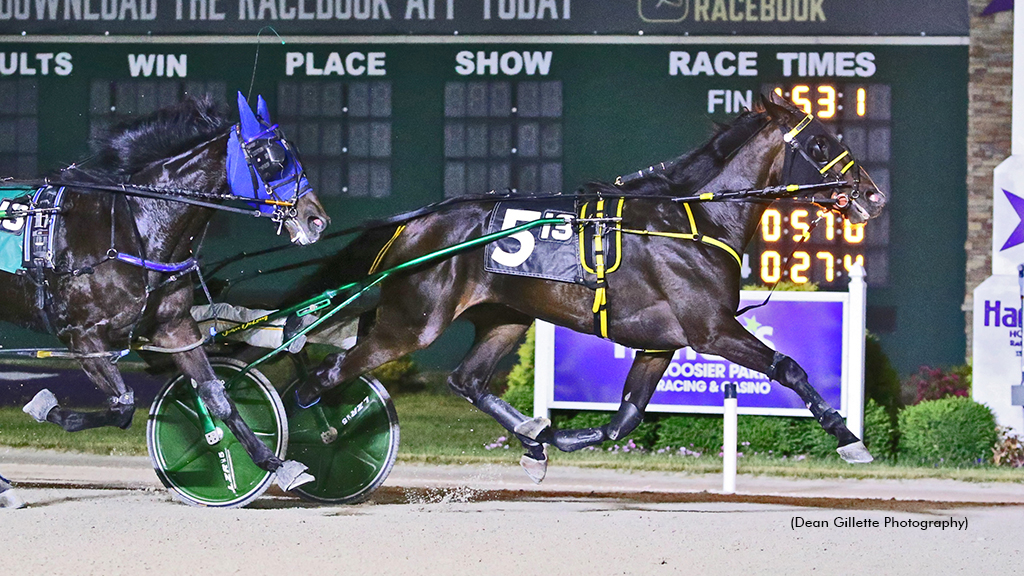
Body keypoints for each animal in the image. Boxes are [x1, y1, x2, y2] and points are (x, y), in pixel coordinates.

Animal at [2, 94, 329, 487]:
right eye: (270, 159)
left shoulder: (174, 327)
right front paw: (43, 405)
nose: (316, 220)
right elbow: (123, 407)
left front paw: (275, 463)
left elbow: (216, 393)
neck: (133, 227)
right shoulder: (82, 337)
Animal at [294, 94, 888, 479]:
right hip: (412, 324)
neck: (694, 218)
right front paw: (848, 439)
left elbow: (624, 420)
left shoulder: (659, 342)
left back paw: (531, 438)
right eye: (820, 142)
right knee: (320, 379)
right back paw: (294, 460)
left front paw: (552, 438)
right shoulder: (711, 330)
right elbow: (788, 367)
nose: (872, 196)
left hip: (506, 317)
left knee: (467, 380)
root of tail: (413, 224)